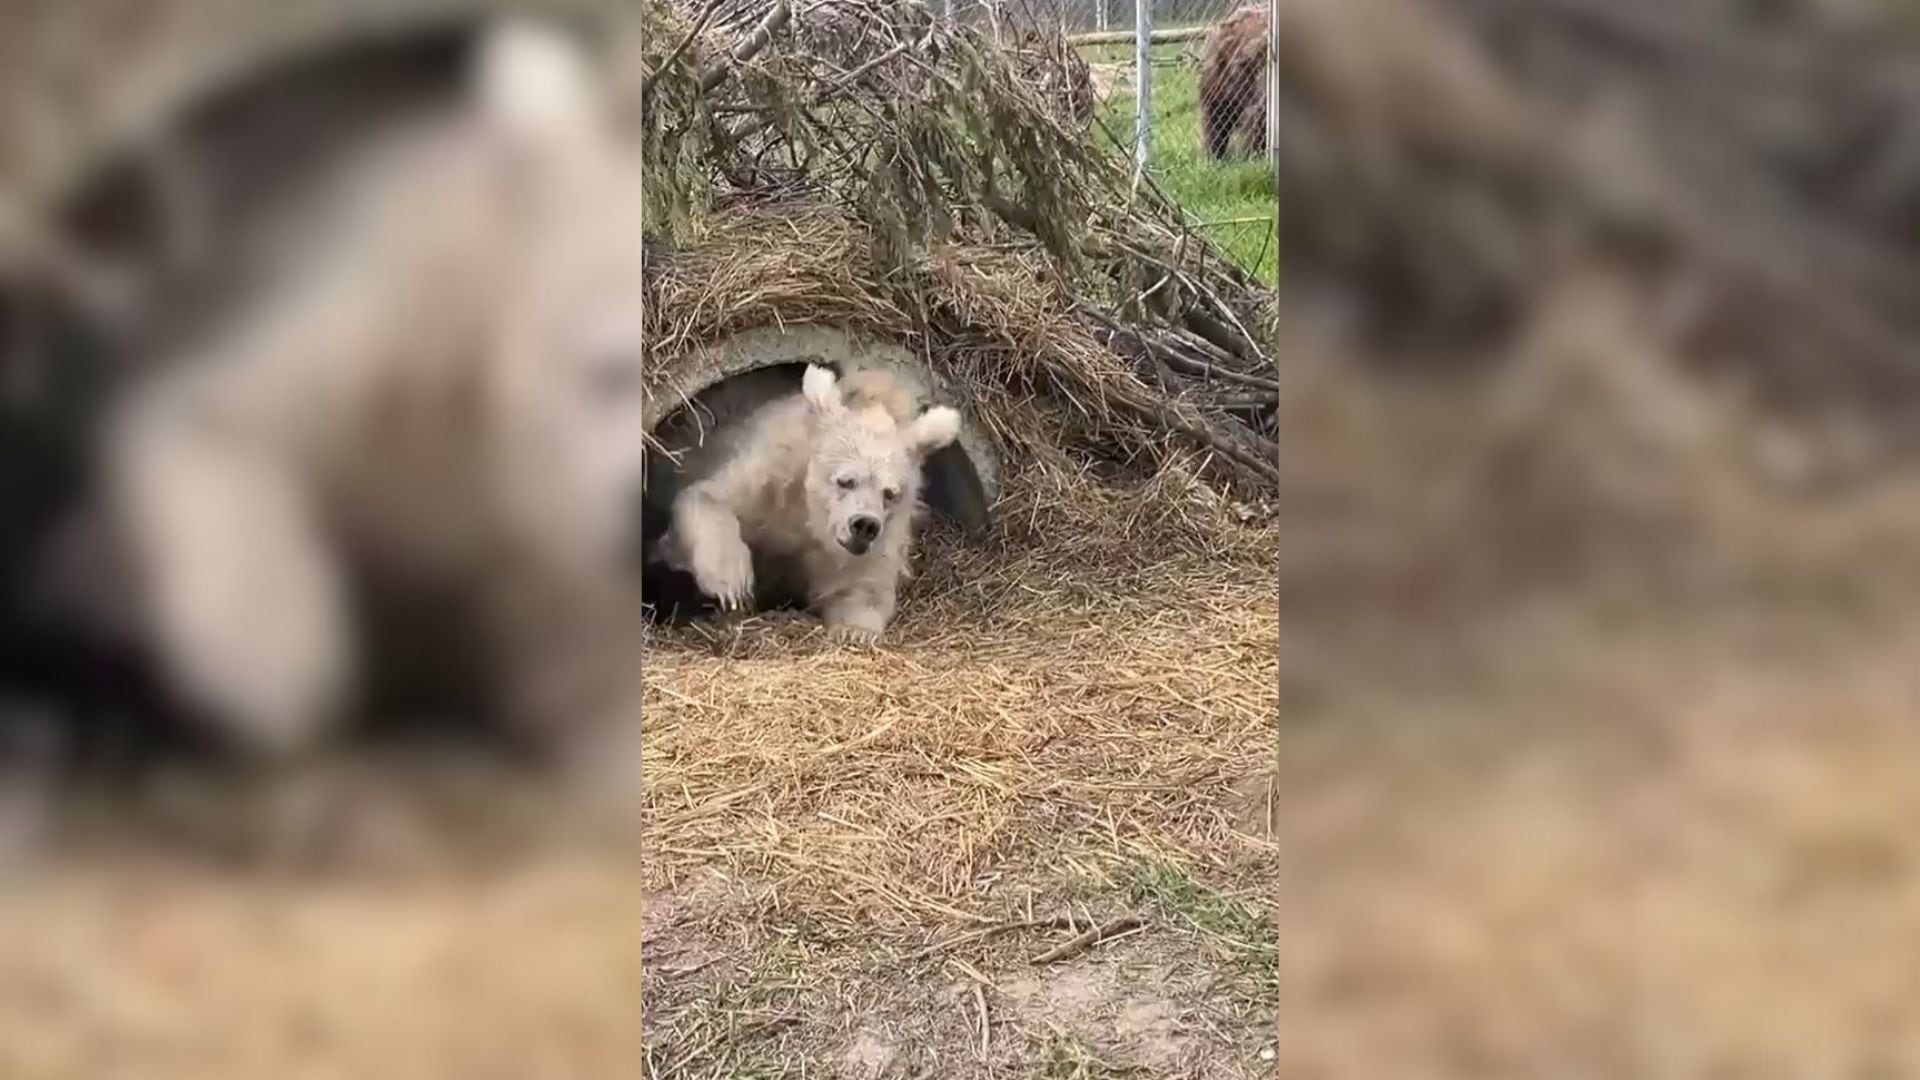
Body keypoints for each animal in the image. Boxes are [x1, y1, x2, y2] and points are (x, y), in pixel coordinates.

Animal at [652, 361, 960, 638]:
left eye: (889, 493)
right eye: (845, 480)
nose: (864, 525)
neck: (811, 516)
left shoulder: (876, 540)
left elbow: (865, 584)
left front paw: (855, 630)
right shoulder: (771, 477)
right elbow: (708, 497)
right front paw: (732, 585)